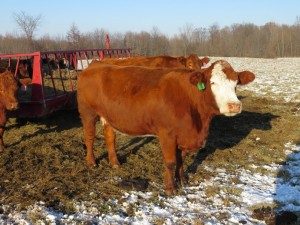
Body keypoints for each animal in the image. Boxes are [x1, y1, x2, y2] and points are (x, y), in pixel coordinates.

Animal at [76, 60, 254, 195]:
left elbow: (181, 161)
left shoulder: (183, 135)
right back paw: (91, 162)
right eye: (213, 82)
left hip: (109, 116)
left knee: (110, 137)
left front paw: (182, 181)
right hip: (87, 112)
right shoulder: (167, 134)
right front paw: (170, 189)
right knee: (89, 136)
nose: (234, 105)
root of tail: (95, 64)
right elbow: (170, 162)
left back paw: (114, 162)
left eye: (236, 83)